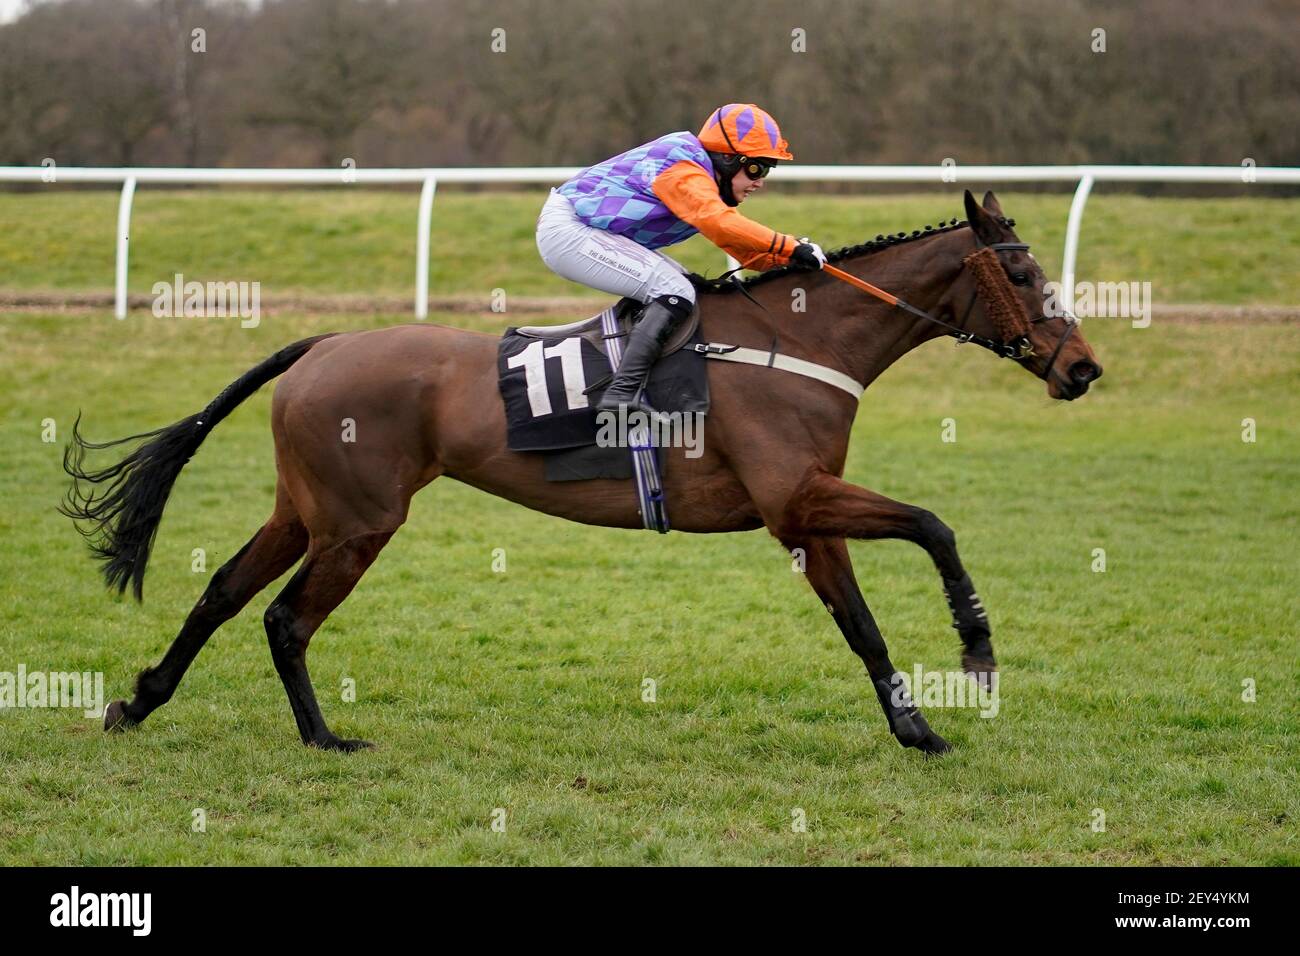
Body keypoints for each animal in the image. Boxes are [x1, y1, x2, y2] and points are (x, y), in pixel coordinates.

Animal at [61, 191, 1097, 754]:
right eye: (1023, 273)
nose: (1083, 368)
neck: (800, 340)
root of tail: (322, 345)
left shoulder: (805, 517)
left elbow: (864, 627)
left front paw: (916, 728)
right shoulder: (796, 501)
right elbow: (933, 526)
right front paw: (976, 650)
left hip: (304, 509)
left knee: (223, 594)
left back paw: (138, 701)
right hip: (358, 521)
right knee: (283, 617)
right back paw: (324, 736)